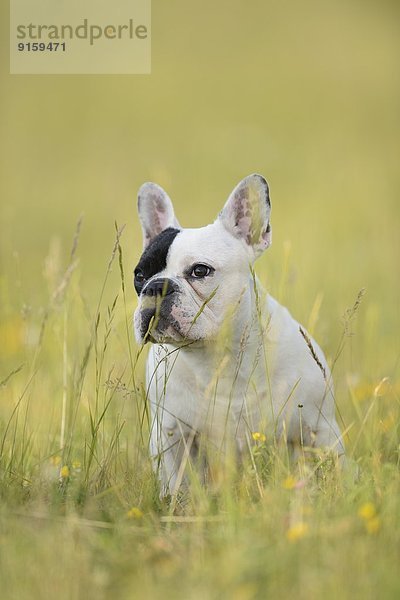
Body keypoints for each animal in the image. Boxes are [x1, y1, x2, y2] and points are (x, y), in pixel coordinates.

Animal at [134, 175, 344, 496]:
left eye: (200, 271)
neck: (216, 356)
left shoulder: (321, 430)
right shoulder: (170, 437)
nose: (156, 287)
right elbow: (176, 488)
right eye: (140, 276)